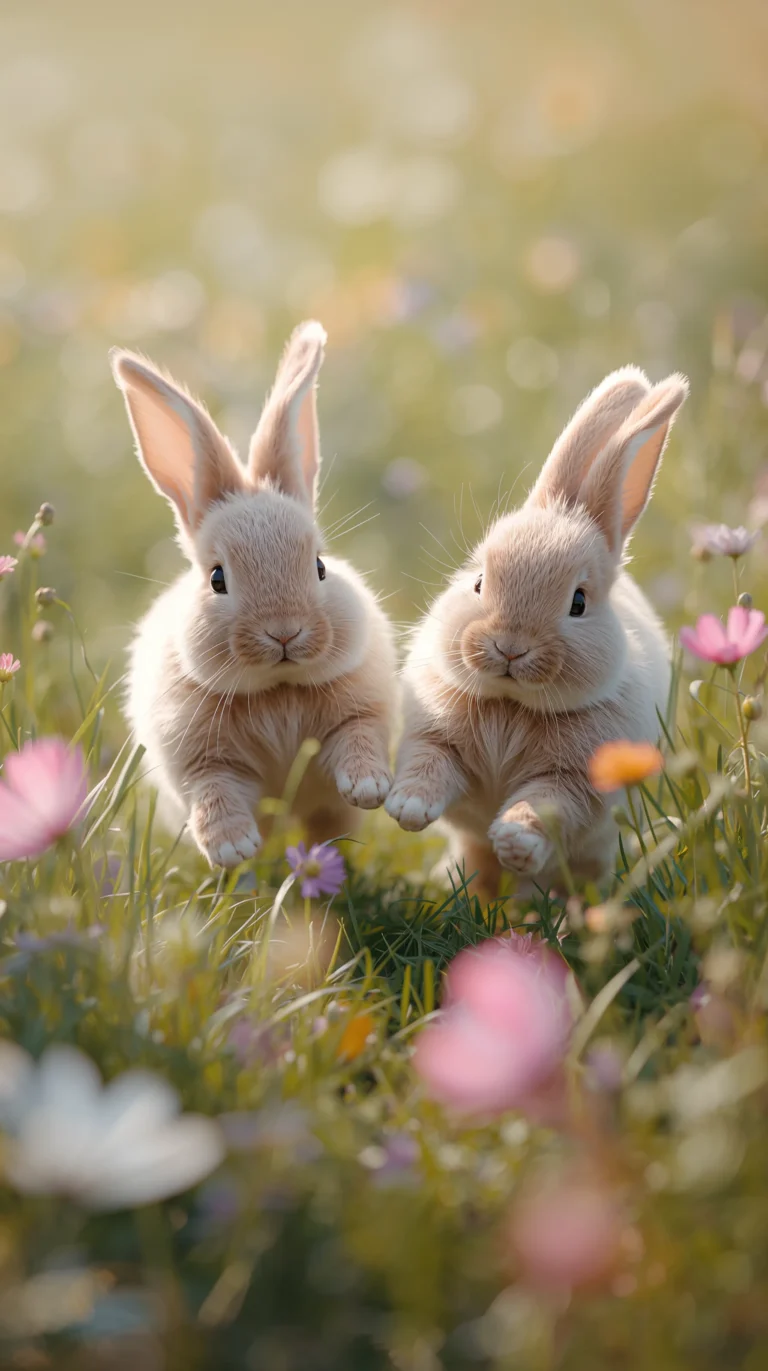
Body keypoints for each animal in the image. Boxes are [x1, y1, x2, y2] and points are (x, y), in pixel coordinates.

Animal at [112, 321, 396, 869]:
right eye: (217, 578)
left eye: (320, 566)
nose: (284, 632)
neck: (277, 688)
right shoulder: (201, 761)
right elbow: (214, 794)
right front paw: (231, 847)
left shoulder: (359, 716)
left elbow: (357, 740)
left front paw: (371, 786)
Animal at [385, 366, 688, 899]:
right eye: (478, 582)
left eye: (578, 603)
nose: (510, 647)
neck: (511, 703)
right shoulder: (434, 738)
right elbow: (428, 767)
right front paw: (408, 810)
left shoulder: (574, 780)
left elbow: (545, 805)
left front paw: (516, 839)